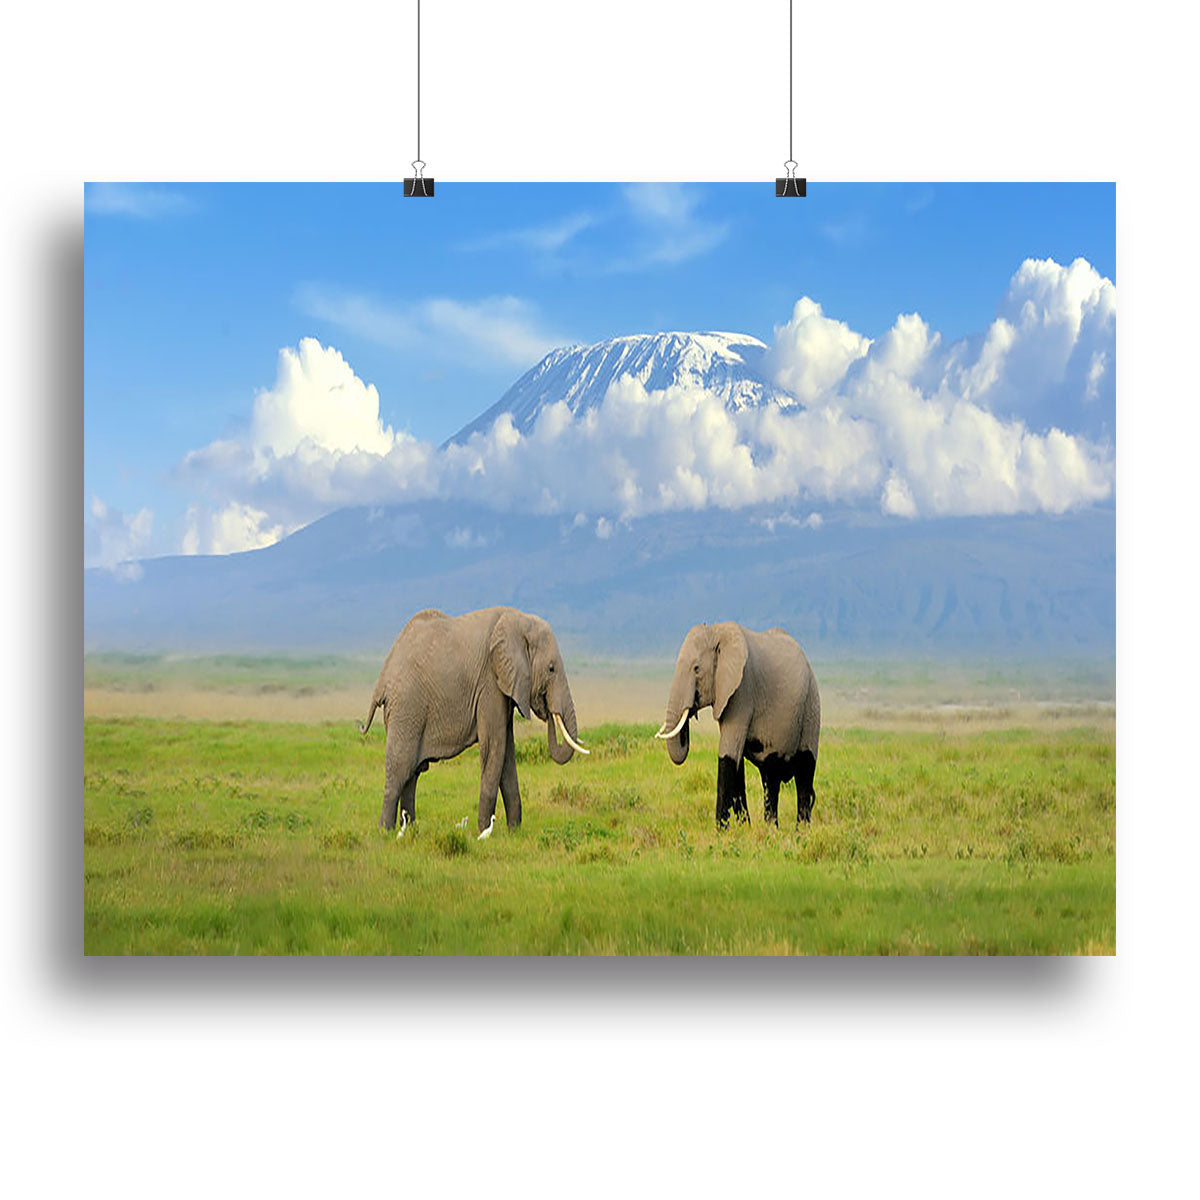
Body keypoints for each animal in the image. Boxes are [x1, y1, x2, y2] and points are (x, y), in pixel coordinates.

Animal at [360, 606, 588, 833]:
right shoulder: (490, 683)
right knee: (400, 770)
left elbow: (507, 752)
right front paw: (485, 831)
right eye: (551, 668)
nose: (547, 708)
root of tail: (382, 680)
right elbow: (495, 747)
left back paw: (410, 829)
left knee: (412, 774)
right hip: (407, 708)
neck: (519, 620)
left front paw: (513, 831)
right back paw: (386, 831)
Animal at [655, 622, 820, 829]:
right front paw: (744, 828)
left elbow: (728, 755)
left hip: (811, 707)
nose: (691, 709)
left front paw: (721, 831)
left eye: (696, 669)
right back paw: (771, 830)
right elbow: (736, 762)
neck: (717, 631)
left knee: (805, 772)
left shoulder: (742, 690)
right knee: (771, 779)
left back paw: (801, 832)